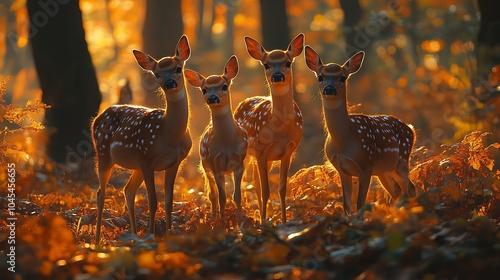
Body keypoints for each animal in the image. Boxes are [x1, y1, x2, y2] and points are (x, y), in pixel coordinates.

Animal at [92, 35, 191, 242]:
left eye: (178, 68)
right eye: (157, 74)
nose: (170, 83)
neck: (168, 135)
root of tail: (97, 118)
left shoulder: (174, 163)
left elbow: (169, 201)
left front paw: (168, 234)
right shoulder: (147, 158)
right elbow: (153, 201)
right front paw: (152, 234)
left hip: (134, 165)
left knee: (128, 190)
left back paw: (134, 234)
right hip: (104, 153)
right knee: (100, 193)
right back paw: (97, 240)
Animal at [185, 55, 247, 219]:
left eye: (224, 86)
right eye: (204, 89)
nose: (212, 98)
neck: (226, 144)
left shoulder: (240, 162)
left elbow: (237, 195)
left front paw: (241, 217)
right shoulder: (215, 164)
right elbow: (222, 197)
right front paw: (222, 220)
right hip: (205, 165)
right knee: (211, 194)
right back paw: (213, 216)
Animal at [234, 34, 304, 224]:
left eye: (288, 62)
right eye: (266, 64)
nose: (277, 76)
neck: (281, 131)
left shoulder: (288, 151)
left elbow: (281, 189)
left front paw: (284, 222)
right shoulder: (261, 150)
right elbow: (266, 190)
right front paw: (265, 223)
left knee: (255, 182)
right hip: (247, 152)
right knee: (253, 185)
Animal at [304, 46, 418, 212]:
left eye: (343, 77)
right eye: (320, 77)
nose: (329, 89)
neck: (345, 141)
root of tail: (411, 129)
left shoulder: (366, 165)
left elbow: (360, 205)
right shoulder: (342, 169)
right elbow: (347, 206)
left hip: (402, 160)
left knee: (409, 189)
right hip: (385, 170)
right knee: (399, 192)